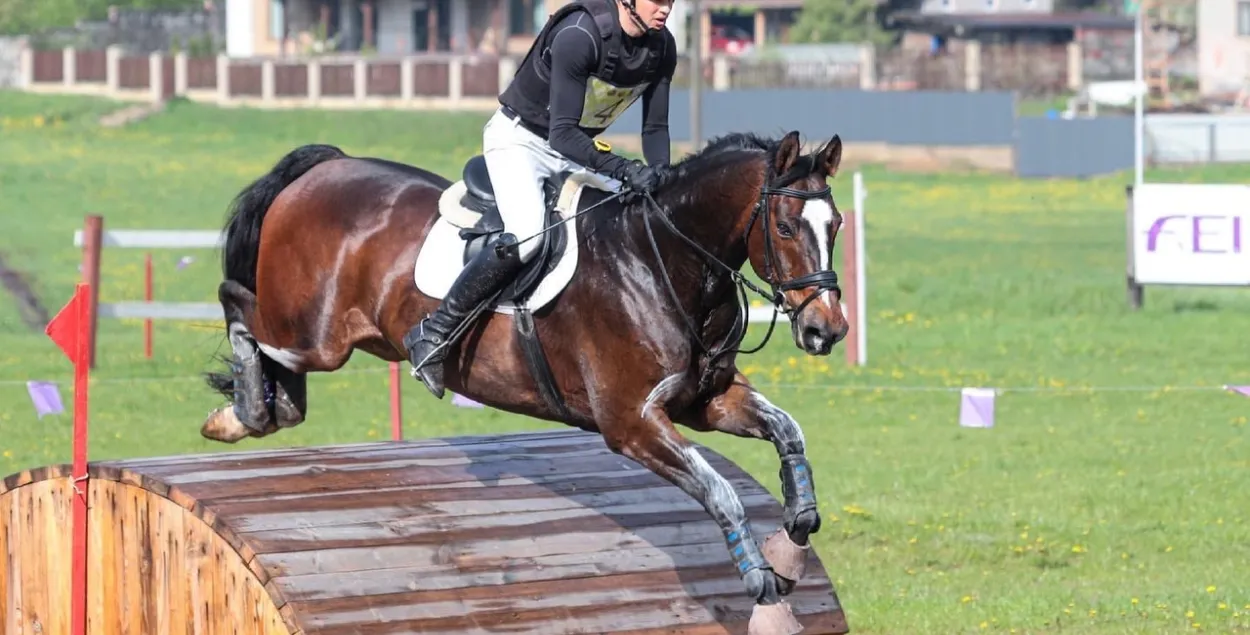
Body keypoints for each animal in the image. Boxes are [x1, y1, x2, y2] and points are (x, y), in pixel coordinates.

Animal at [200, 126, 855, 632]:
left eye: (837, 224)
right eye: (787, 228)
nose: (826, 329)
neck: (663, 259)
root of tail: (326, 166)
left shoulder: (706, 401)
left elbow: (789, 434)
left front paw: (789, 551)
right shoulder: (631, 423)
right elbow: (720, 492)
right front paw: (765, 593)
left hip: (333, 338)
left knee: (273, 356)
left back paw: (265, 404)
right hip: (314, 333)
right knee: (236, 302)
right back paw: (240, 413)